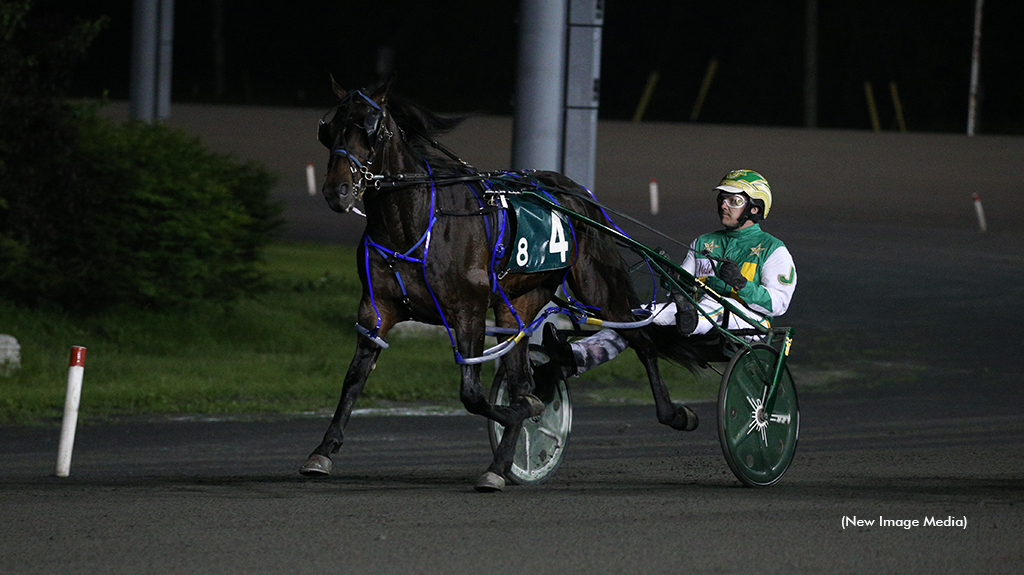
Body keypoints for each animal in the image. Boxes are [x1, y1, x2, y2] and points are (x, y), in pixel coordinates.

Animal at [296, 78, 696, 487]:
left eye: (369, 129)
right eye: (329, 128)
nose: (336, 191)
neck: (414, 222)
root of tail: (577, 191)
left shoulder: (468, 311)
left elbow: (474, 395)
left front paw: (530, 408)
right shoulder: (376, 309)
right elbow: (354, 378)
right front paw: (322, 451)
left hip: (598, 287)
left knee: (642, 341)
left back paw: (675, 413)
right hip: (516, 303)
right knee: (521, 373)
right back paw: (499, 466)